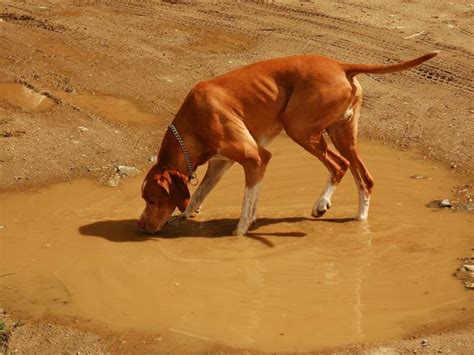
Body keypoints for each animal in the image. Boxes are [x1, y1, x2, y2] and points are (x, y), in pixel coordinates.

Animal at [137, 51, 436, 235]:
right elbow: (200, 192)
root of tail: (341, 65)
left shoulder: (256, 157)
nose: (140, 226)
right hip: (342, 134)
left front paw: (239, 232)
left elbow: (247, 204)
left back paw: (321, 204)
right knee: (364, 177)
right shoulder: (221, 163)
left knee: (339, 166)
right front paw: (187, 213)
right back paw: (360, 220)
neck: (192, 122)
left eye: (152, 199)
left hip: (299, 128)